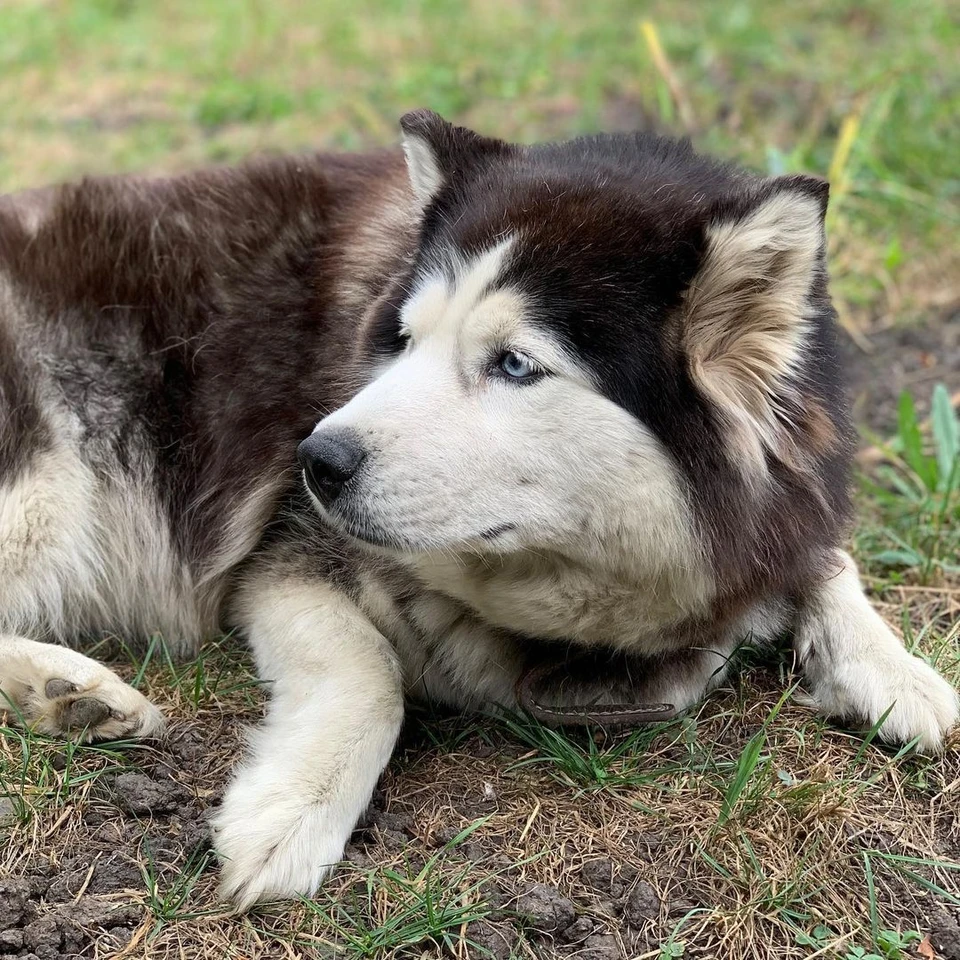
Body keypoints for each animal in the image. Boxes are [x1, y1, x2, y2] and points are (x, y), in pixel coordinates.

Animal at [0, 112, 956, 908]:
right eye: (403, 341)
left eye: (515, 364)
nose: (314, 461)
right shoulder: (284, 555)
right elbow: (371, 673)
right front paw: (294, 809)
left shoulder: (784, 496)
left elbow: (824, 556)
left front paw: (896, 670)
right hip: (46, 483)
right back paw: (66, 687)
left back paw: (60, 695)